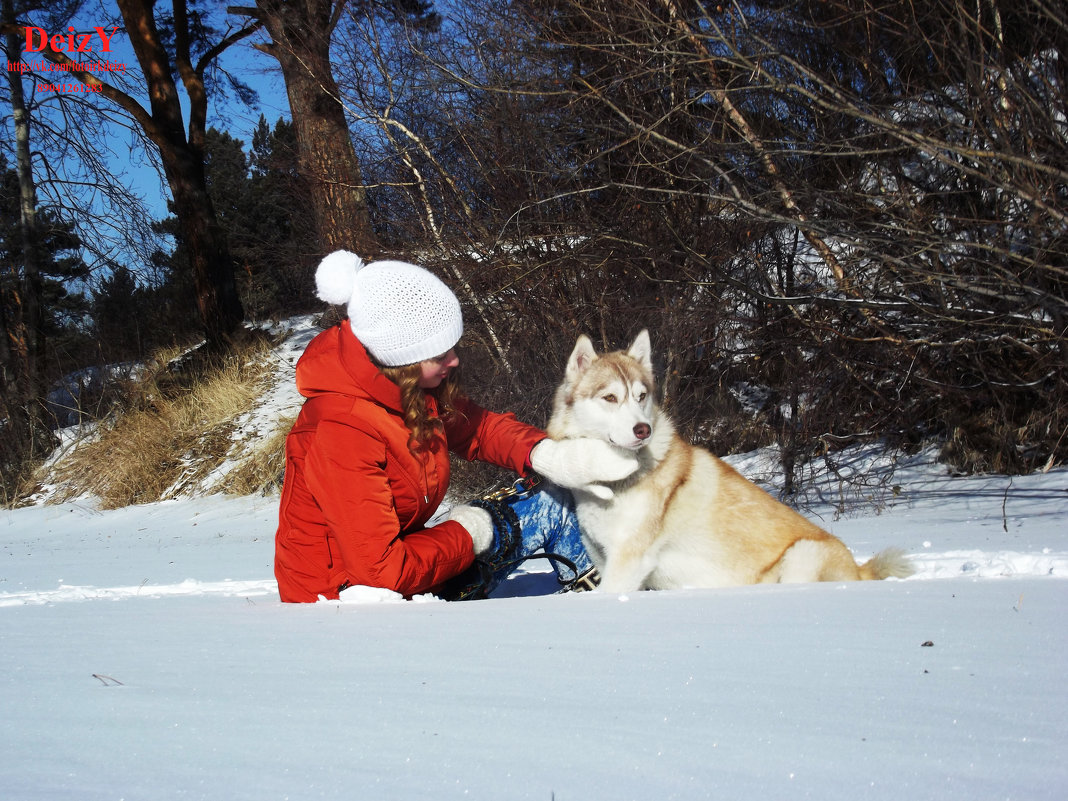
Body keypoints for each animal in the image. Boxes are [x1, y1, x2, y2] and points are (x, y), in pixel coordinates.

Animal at [546, 333, 914, 598]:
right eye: (610, 398)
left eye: (641, 396)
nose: (643, 430)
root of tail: (859, 570)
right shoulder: (604, 559)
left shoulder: (629, 561)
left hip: (803, 554)